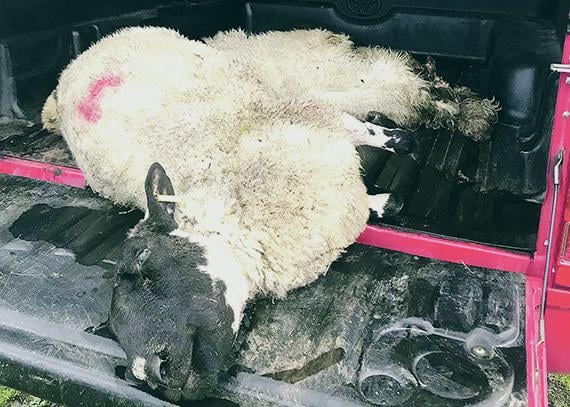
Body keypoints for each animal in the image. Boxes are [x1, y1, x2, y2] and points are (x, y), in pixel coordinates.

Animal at [41, 26, 498, 400]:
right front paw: (385, 201)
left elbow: (380, 136)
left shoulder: (313, 115)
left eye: (142, 259)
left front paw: (400, 145)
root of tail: (69, 75)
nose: (151, 372)